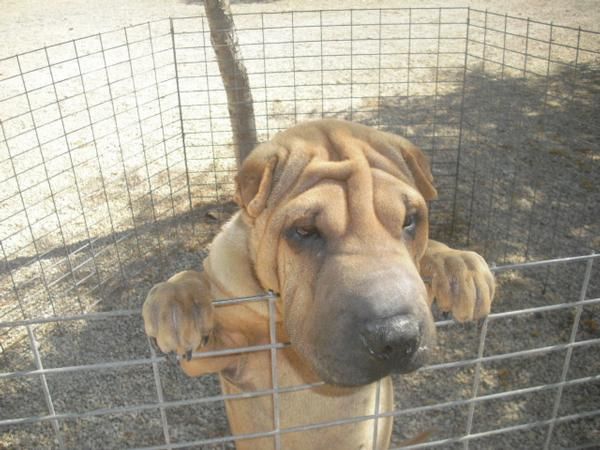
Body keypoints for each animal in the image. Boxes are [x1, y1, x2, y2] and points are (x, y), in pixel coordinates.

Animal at [143, 119, 494, 450]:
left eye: (409, 220)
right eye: (304, 230)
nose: (397, 337)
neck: (280, 318)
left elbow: (429, 252)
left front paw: (457, 264)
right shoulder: (227, 352)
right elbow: (192, 285)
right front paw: (177, 303)